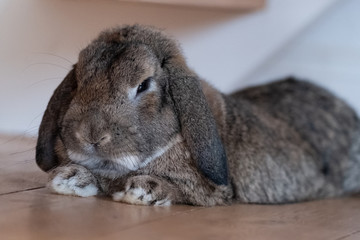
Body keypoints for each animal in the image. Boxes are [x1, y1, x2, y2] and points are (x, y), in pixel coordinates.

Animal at [35, 24, 360, 206]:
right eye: (79, 80)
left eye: (143, 84)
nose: (90, 136)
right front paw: (69, 178)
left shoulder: (210, 192)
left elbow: (182, 192)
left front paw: (142, 190)